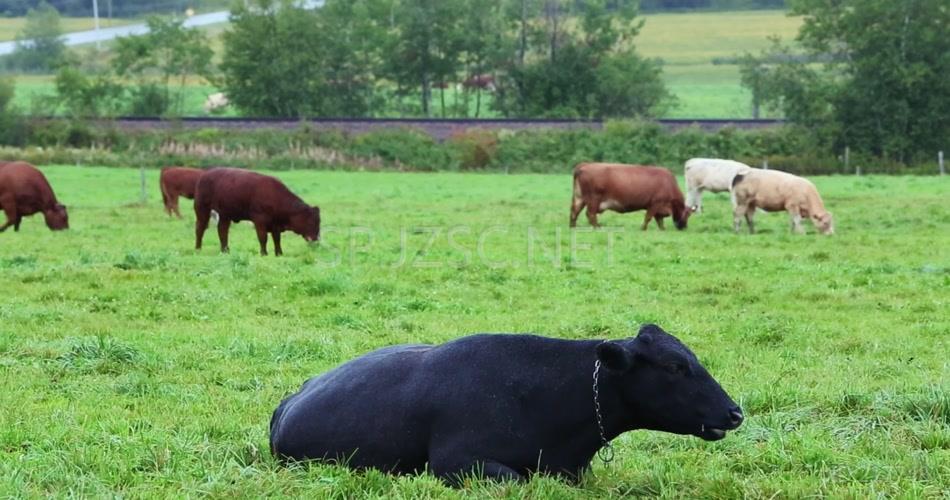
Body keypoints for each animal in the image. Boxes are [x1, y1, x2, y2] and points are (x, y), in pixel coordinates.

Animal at [568, 162, 696, 230]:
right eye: (688, 215)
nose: (684, 227)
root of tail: (585, 164)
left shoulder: (659, 208)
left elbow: (659, 220)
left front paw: (662, 229)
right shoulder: (655, 203)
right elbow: (648, 217)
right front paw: (643, 228)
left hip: (580, 198)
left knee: (575, 211)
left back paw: (573, 227)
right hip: (593, 199)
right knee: (590, 214)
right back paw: (597, 227)